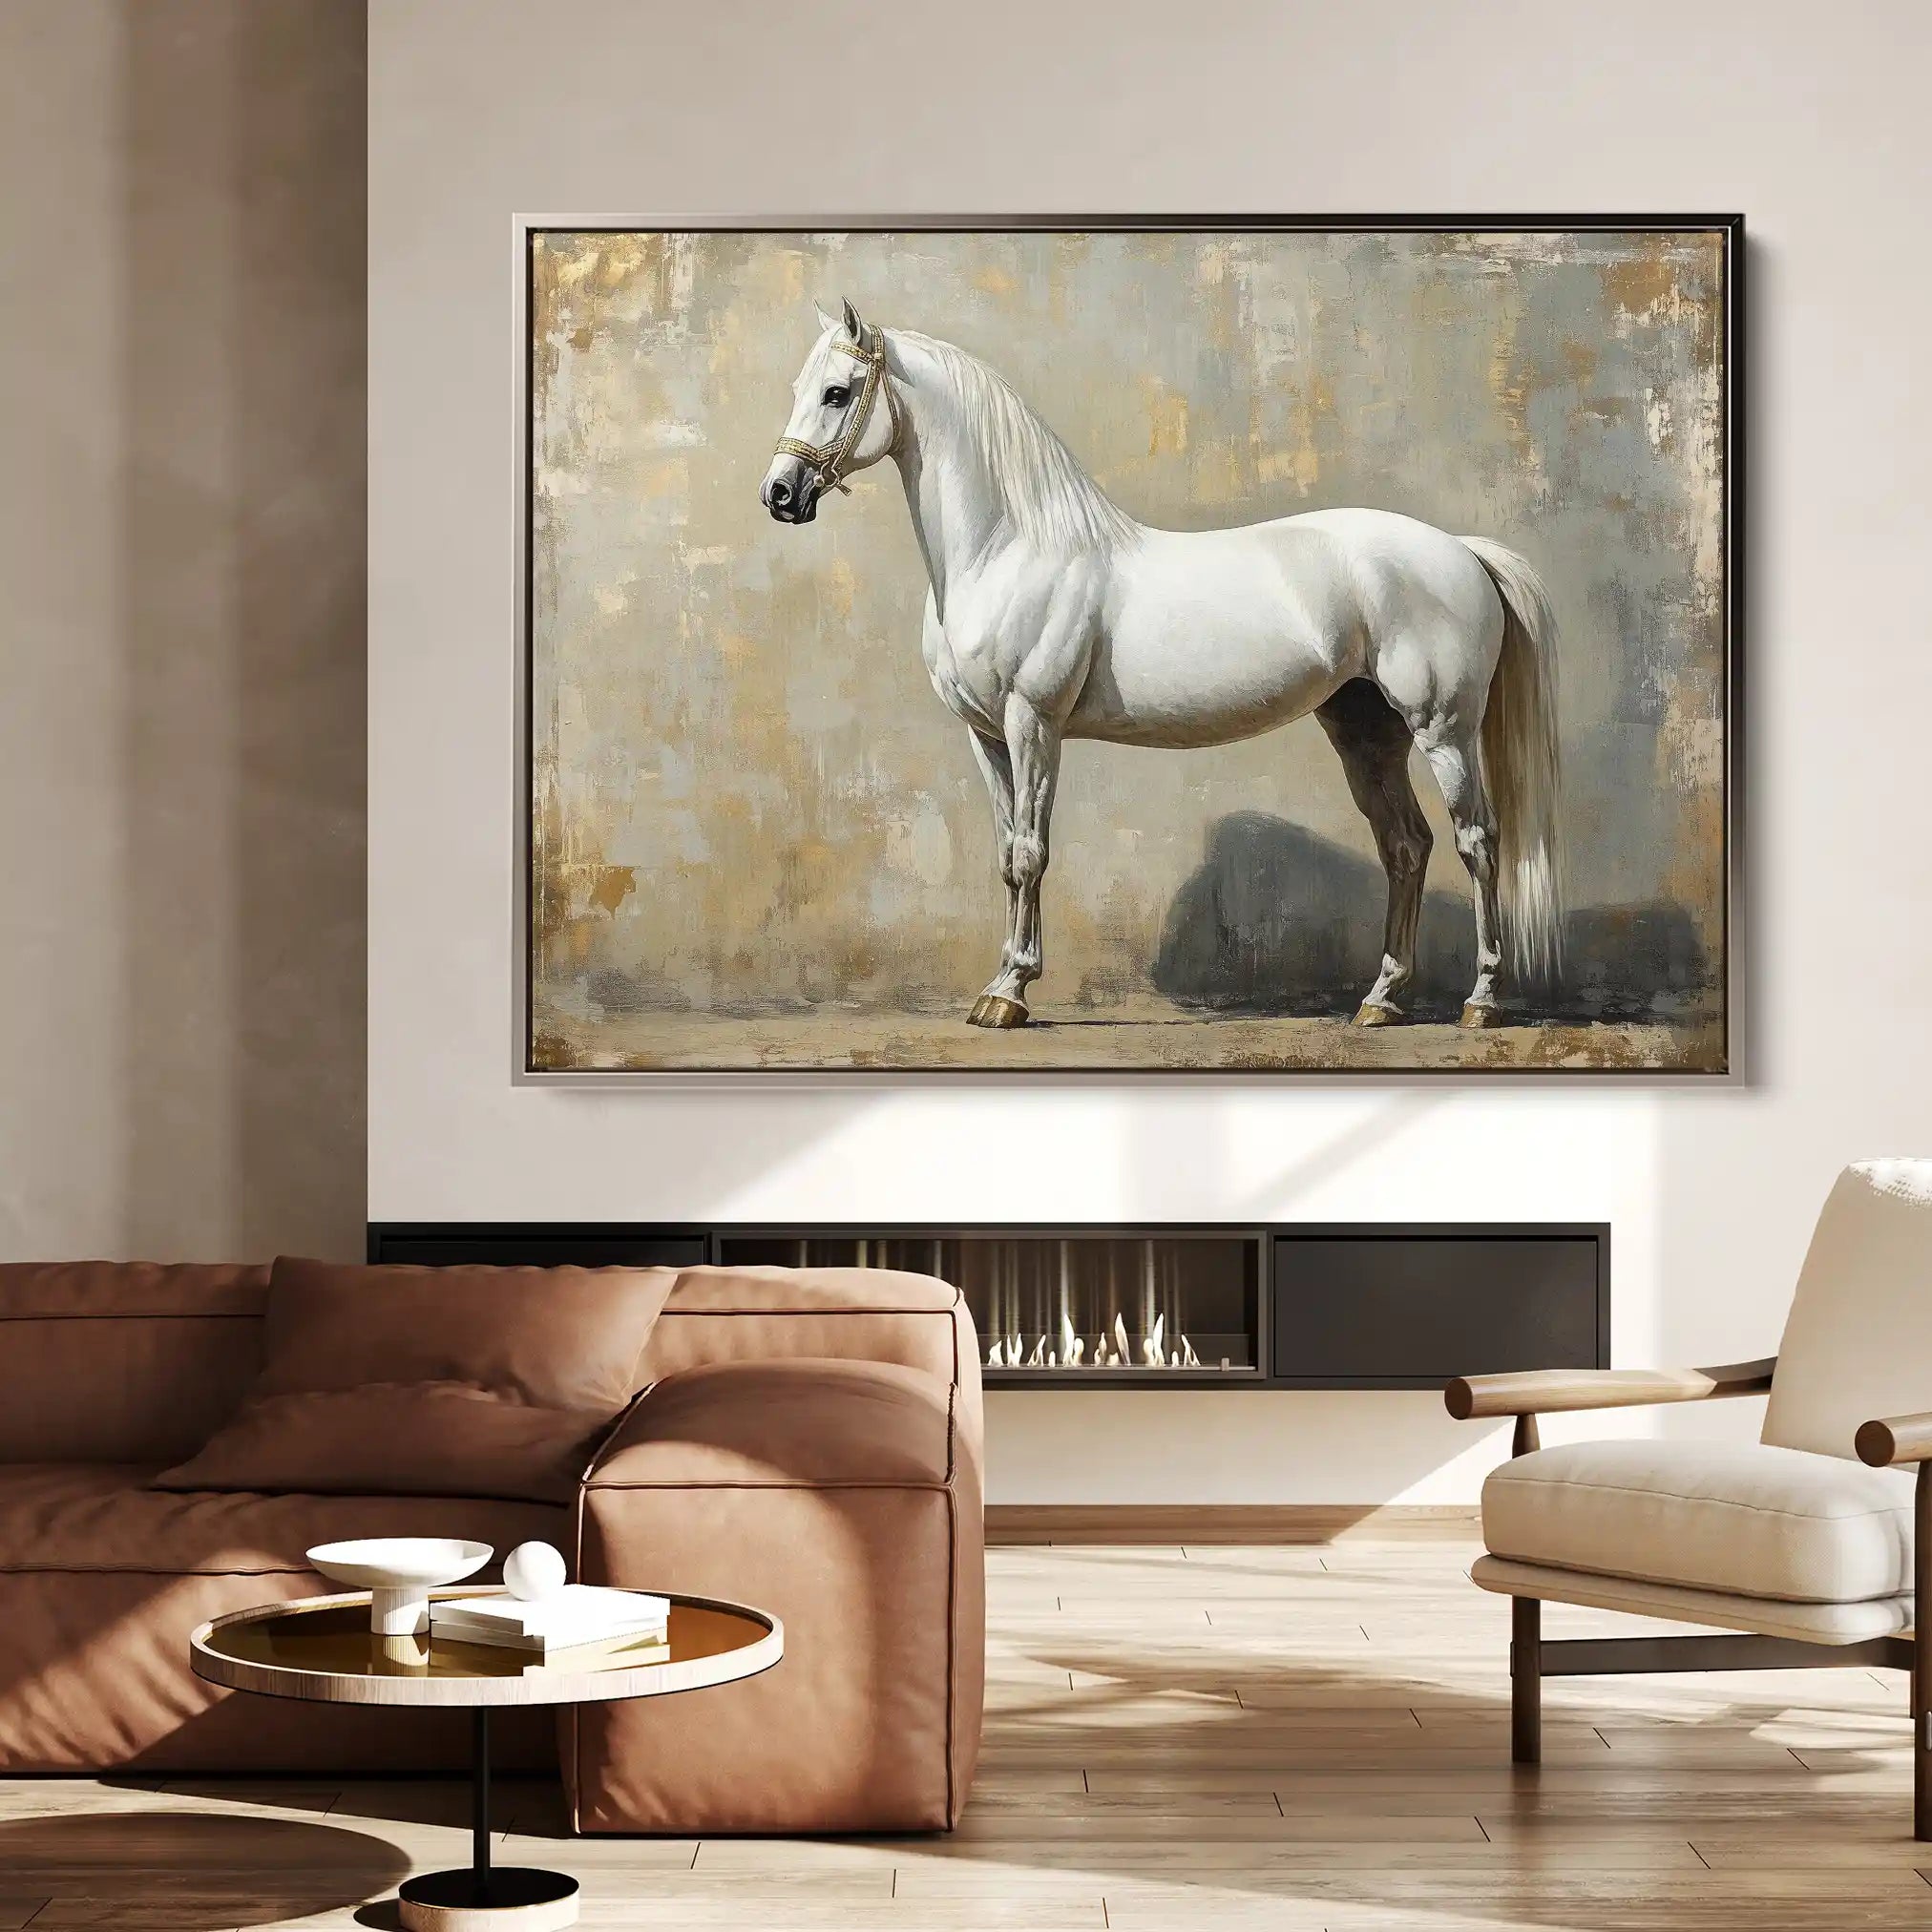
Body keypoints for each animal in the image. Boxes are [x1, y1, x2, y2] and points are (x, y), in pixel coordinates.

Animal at [761, 299, 1563, 1031]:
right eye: (801, 386)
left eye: (837, 392)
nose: (779, 495)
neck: (1006, 550)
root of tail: (1461, 551)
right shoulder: (985, 736)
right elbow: (1005, 854)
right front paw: (999, 983)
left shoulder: (1033, 725)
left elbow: (1031, 854)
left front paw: (1010, 993)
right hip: (1366, 733)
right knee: (1405, 846)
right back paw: (1381, 1001)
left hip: (1443, 730)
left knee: (1477, 843)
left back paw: (1481, 1001)